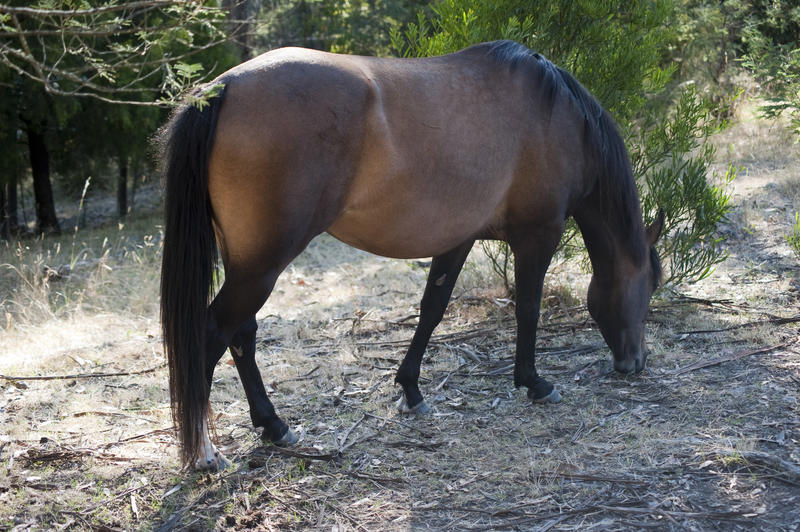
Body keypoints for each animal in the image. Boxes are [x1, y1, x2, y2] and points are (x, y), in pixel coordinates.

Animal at [156, 40, 664, 470]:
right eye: (651, 285)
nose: (635, 362)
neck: (556, 117)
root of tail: (221, 90)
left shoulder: (458, 238)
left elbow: (432, 310)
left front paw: (412, 389)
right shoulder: (538, 235)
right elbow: (527, 308)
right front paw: (534, 383)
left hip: (247, 263)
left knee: (241, 334)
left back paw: (274, 426)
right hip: (261, 267)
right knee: (211, 333)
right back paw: (206, 453)